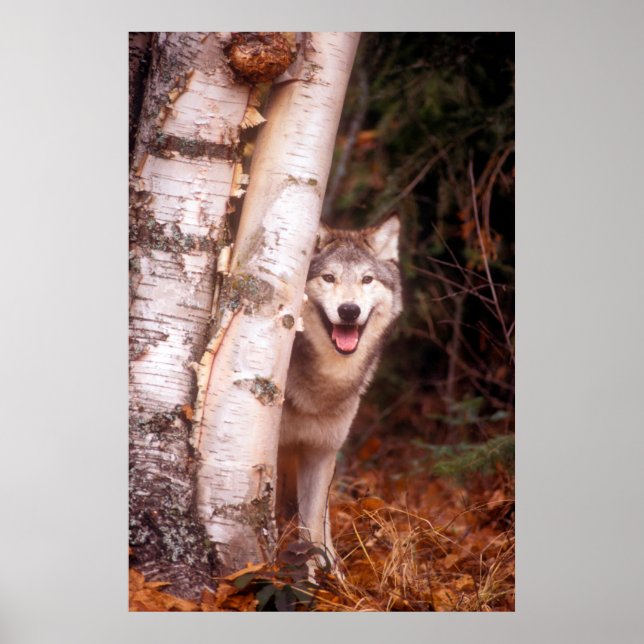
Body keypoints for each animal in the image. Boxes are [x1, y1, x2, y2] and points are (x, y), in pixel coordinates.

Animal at [277, 214, 402, 574]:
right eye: (329, 277)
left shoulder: (322, 451)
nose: (349, 310)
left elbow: (313, 521)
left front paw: (323, 572)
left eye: (367, 279)